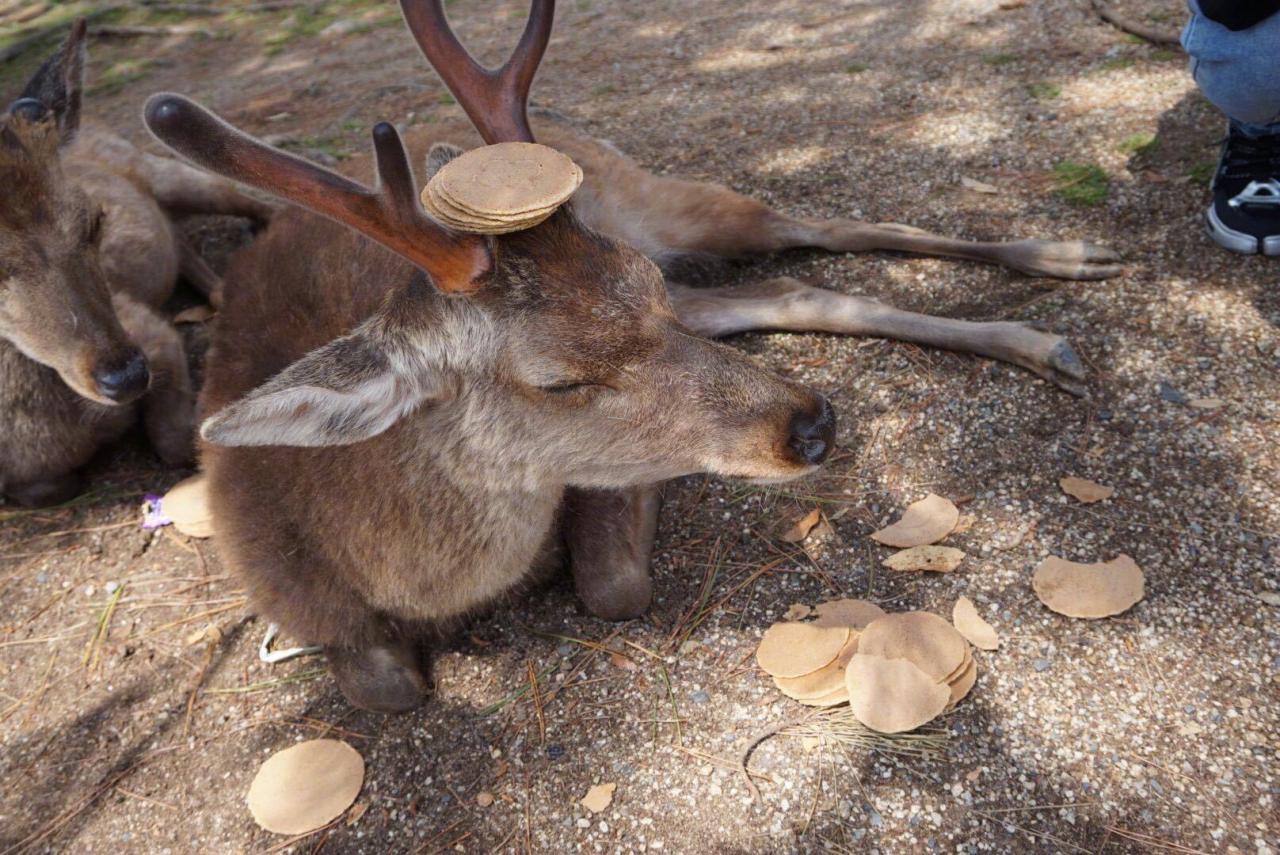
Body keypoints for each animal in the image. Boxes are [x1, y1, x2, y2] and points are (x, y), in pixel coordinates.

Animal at [0, 21, 275, 506]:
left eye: (94, 220)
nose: (125, 376)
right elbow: (44, 488)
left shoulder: (151, 332)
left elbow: (176, 441)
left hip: (170, 169)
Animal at [142, 0, 1121, 716]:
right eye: (559, 379)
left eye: (639, 289)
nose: (812, 424)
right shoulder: (300, 604)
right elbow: (387, 689)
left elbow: (614, 586)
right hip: (699, 280)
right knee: (796, 288)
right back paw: (1042, 324)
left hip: (666, 207)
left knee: (808, 225)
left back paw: (1065, 263)